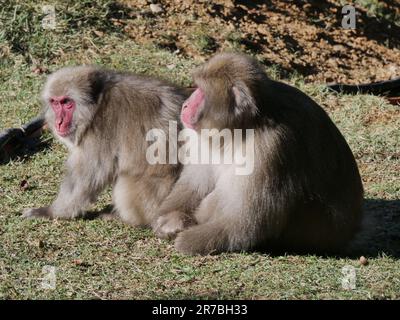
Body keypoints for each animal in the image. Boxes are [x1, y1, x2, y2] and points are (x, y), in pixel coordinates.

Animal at [24, 65, 187, 225]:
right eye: (55, 103)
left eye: (67, 103)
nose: (59, 122)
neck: (96, 107)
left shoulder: (99, 133)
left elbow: (86, 178)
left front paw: (51, 212)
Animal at [155, 52, 364, 255]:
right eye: (196, 87)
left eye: (202, 92)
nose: (185, 105)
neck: (242, 128)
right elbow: (197, 181)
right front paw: (170, 218)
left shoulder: (271, 147)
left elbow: (245, 222)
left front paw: (187, 241)